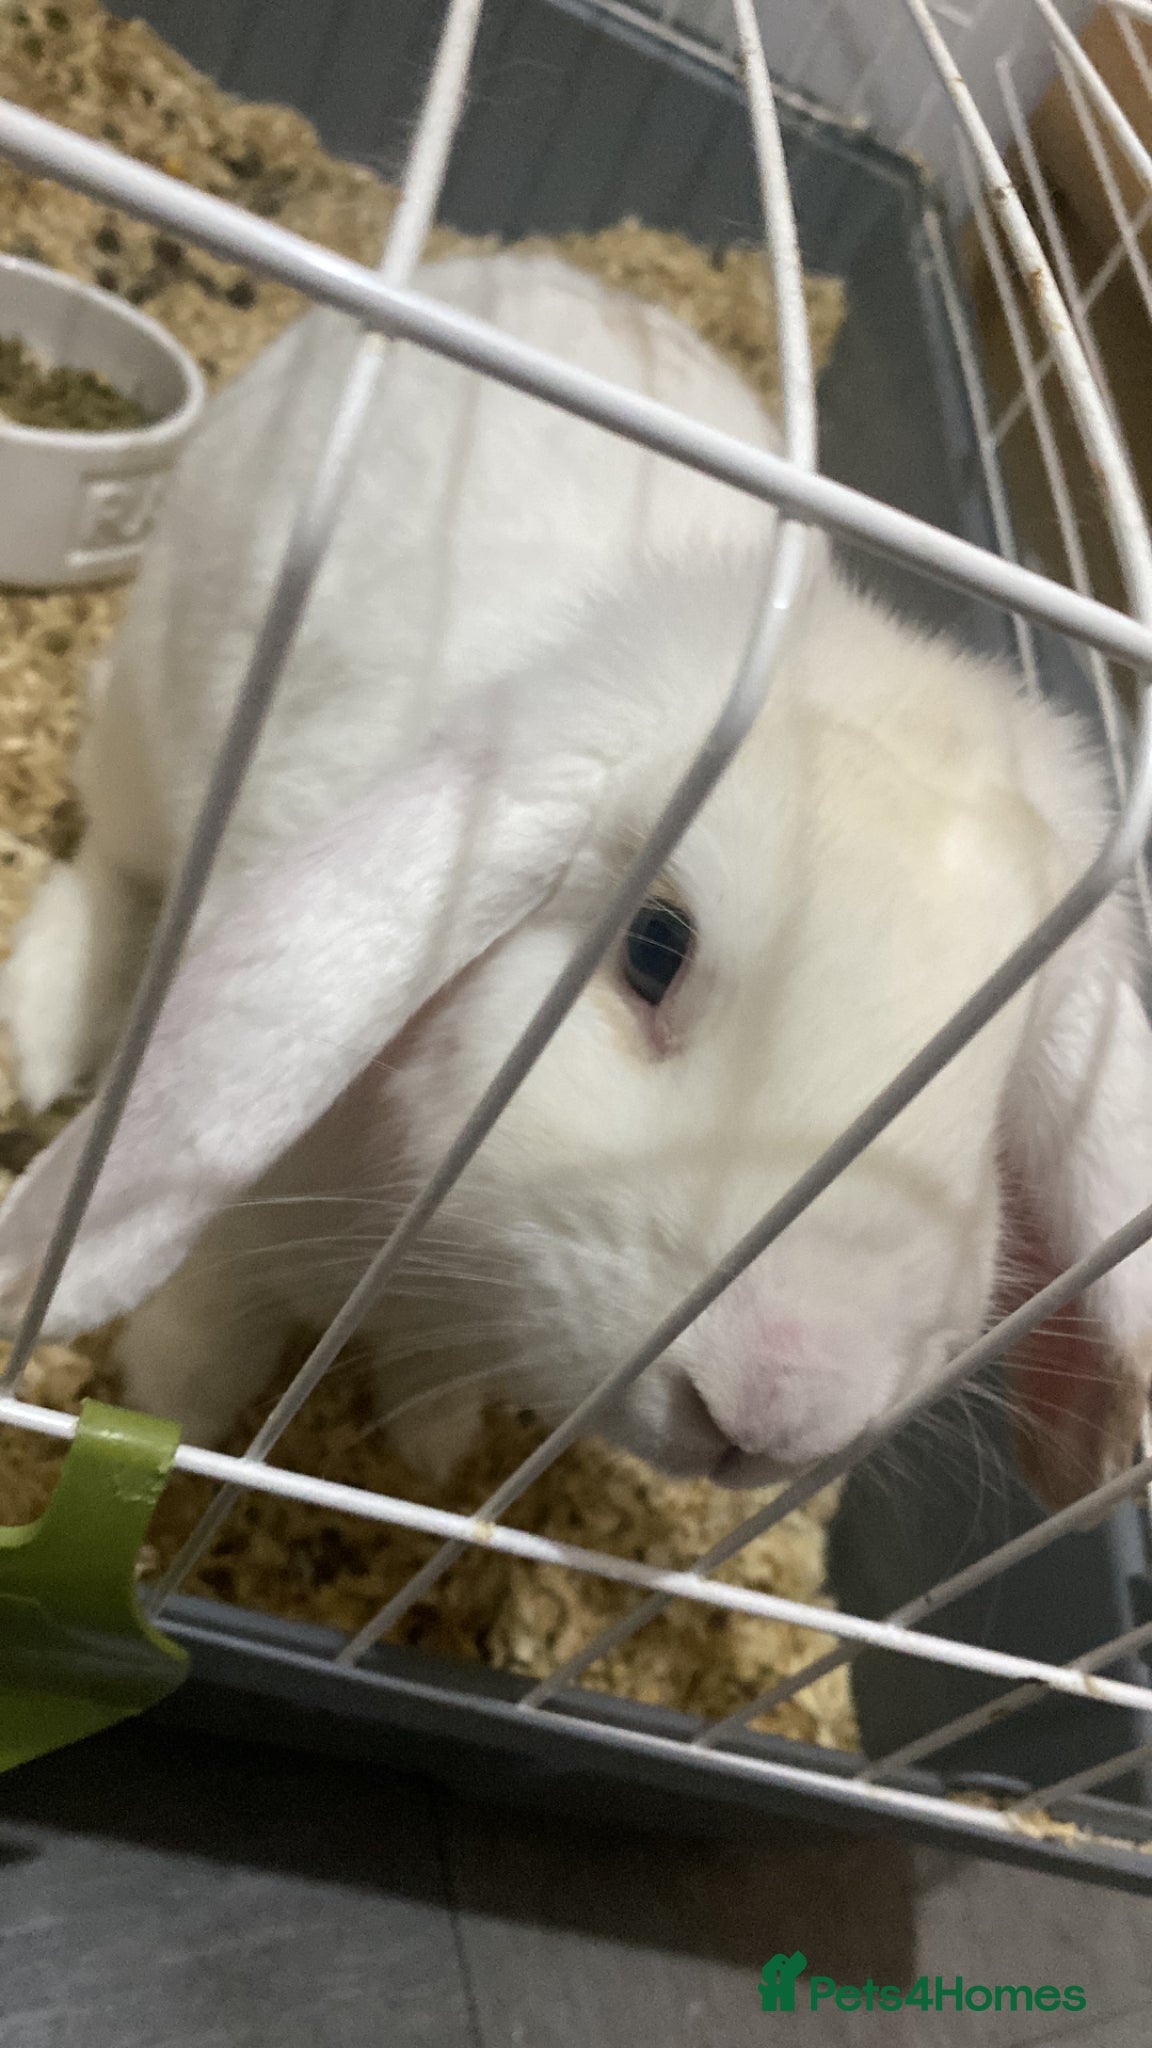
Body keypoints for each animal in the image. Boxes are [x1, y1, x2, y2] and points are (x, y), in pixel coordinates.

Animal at [0, 246, 1149, 1511]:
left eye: (997, 1102)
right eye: (653, 950)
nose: (772, 1412)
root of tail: (523, 265)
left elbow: (426, 1372)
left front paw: (431, 1448)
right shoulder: (235, 1239)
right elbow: (208, 1331)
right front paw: (162, 1414)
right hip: (147, 716)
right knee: (112, 855)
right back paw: (43, 1029)